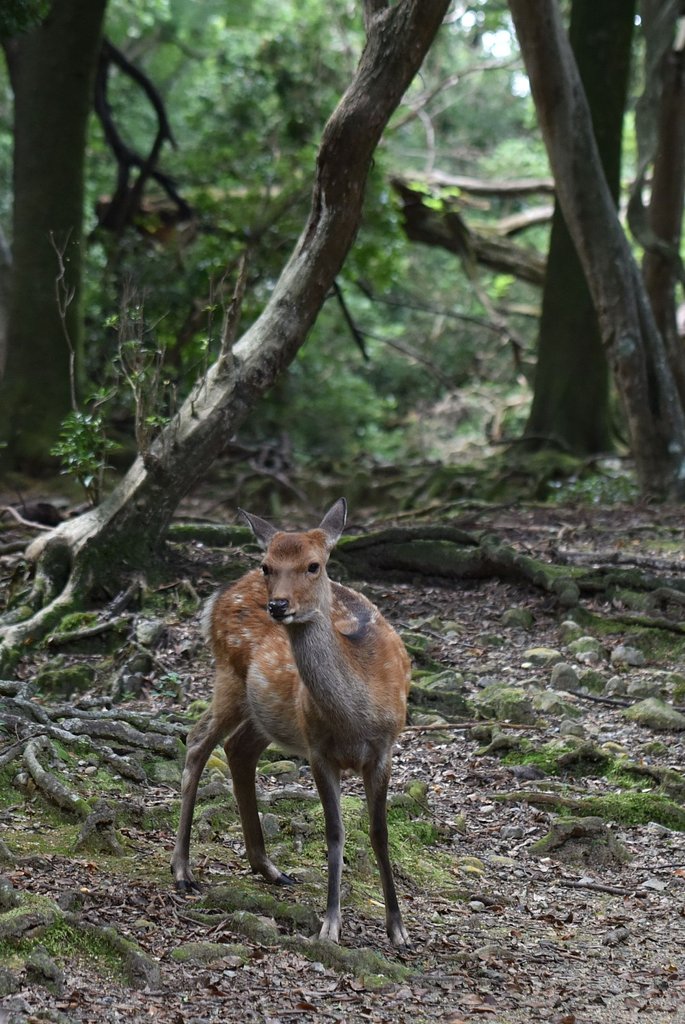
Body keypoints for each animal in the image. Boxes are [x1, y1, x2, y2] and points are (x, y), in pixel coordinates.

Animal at [170, 498, 411, 946]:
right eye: (268, 565)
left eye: (314, 565)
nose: (278, 606)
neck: (356, 715)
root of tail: (216, 598)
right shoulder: (318, 750)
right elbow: (335, 832)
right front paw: (330, 925)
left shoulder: (385, 749)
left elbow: (380, 833)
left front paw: (398, 928)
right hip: (230, 675)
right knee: (197, 741)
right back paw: (182, 870)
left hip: (265, 711)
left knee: (237, 748)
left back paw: (268, 867)